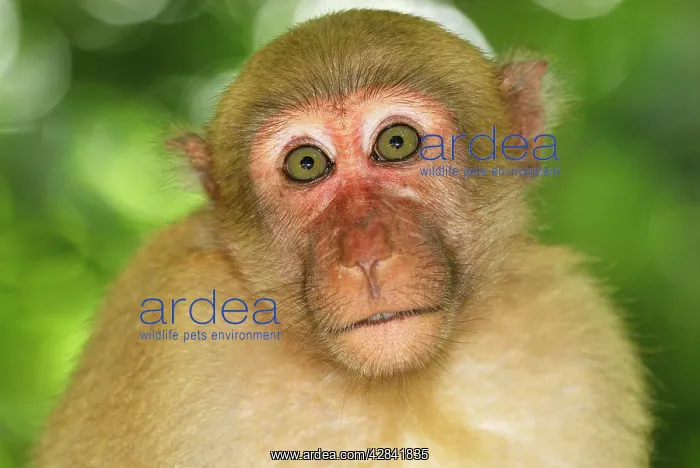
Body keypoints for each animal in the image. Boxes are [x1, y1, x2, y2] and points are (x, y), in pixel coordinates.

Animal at [33, 9, 652, 468]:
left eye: (396, 142)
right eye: (307, 164)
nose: (366, 255)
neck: (396, 387)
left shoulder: (567, 336)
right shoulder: (177, 327)